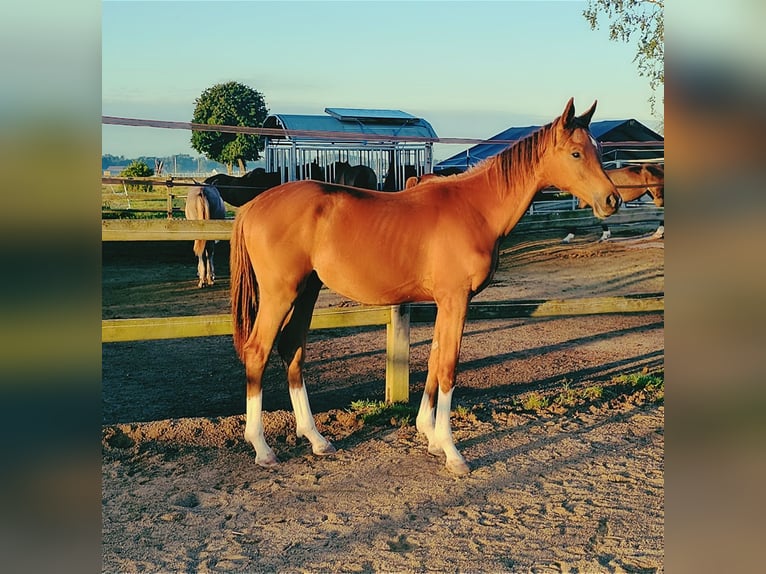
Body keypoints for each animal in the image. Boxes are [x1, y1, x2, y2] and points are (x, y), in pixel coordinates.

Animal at [229, 98, 620, 474]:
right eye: (576, 153)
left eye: (599, 149)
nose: (612, 199)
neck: (475, 209)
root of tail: (254, 205)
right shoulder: (456, 299)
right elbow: (448, 365)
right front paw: (452, 452)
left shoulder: (444, 303)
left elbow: (433, 358)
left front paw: (429, 436)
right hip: (280, 295)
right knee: (258, 351)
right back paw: (262, 448)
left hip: (306, 291)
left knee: (292, 350)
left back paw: (316, 439)